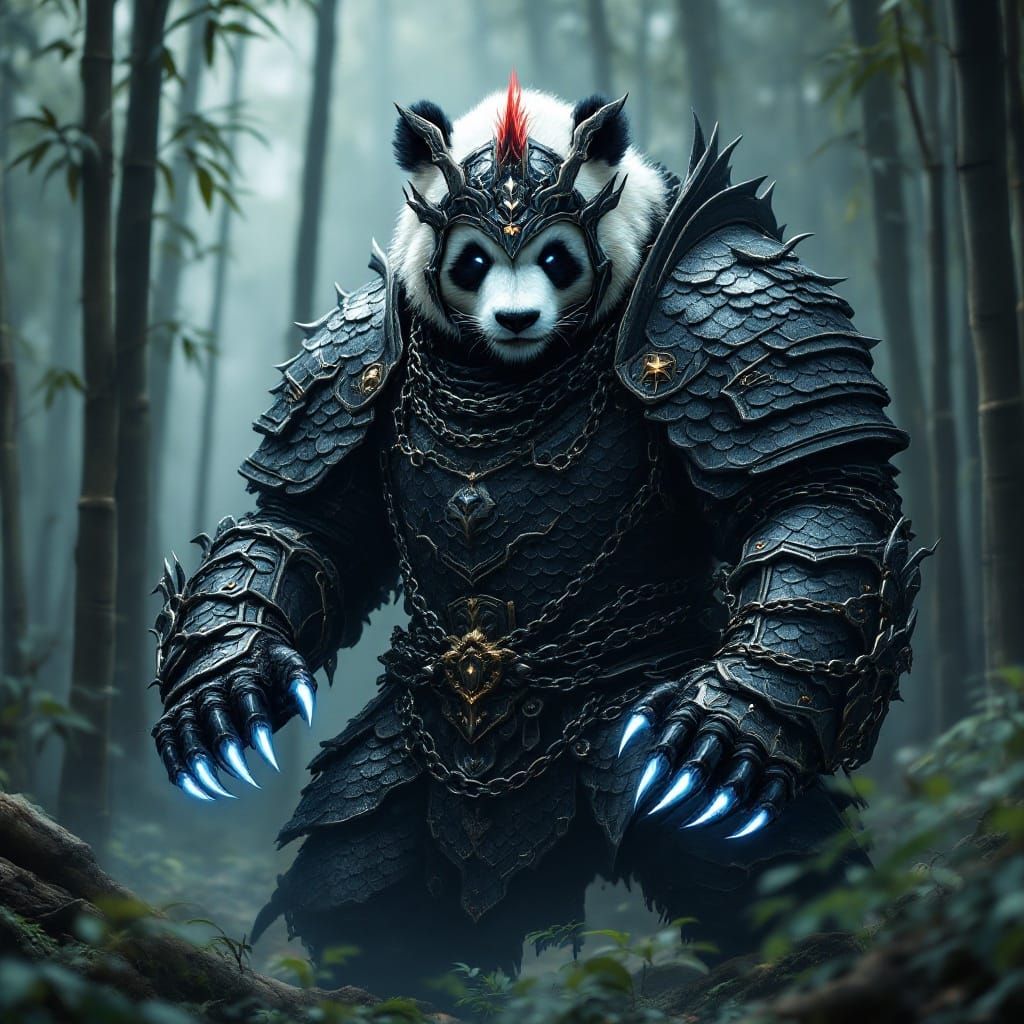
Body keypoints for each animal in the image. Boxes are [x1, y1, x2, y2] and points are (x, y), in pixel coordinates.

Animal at [151, 73, 925, 1004]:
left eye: (558, 257)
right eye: (471, 261)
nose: (517, 317)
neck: (507, 371)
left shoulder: (726, 300)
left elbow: (811, 494)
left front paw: (727, 725)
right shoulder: (351, 366)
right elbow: (306, 527)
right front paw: (223, 691)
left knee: (770, 875)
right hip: (385, 786)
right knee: (361, 899)